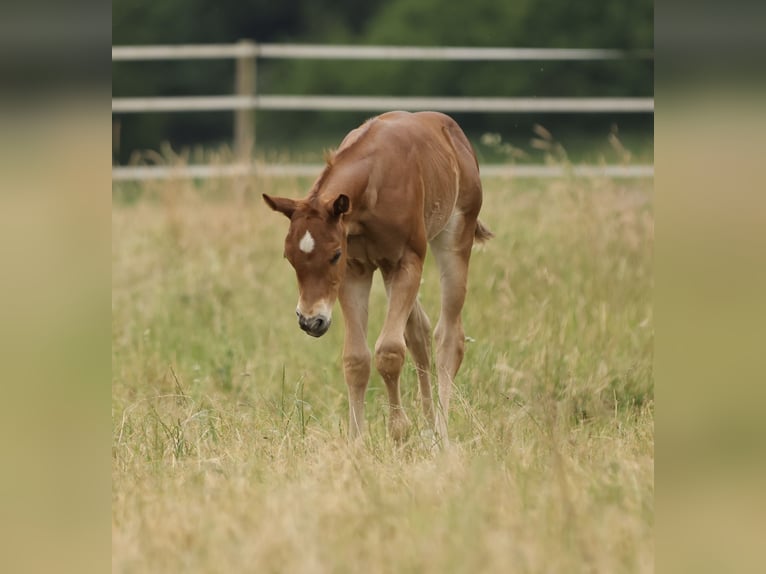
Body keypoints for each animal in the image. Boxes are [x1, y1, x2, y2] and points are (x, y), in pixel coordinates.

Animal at [263, 110, 492, 445]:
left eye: (334, 254)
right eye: (289, 257)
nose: (310, 321)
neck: (376, 181)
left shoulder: (405, 262)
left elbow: (390, 352)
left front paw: (398, 432)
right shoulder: (355, 270)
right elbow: (357, 358)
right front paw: (356, 443)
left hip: (453, 239)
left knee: (449, 336)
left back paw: (440, 434)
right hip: (386, 270)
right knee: (419, 332)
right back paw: (428, 426)